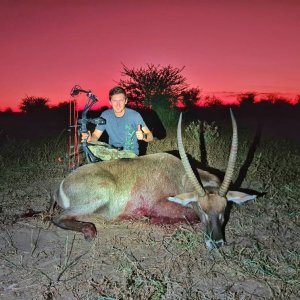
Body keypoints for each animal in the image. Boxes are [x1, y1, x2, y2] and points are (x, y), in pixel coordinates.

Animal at [52, 109, 255, 248]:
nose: (217, 243)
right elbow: (188, 215)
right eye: (201, 208)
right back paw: (89, 230)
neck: (178, 174)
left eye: (225, 208)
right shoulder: (159, 204)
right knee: (58, 218)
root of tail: (61, 187)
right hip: (100, 195)